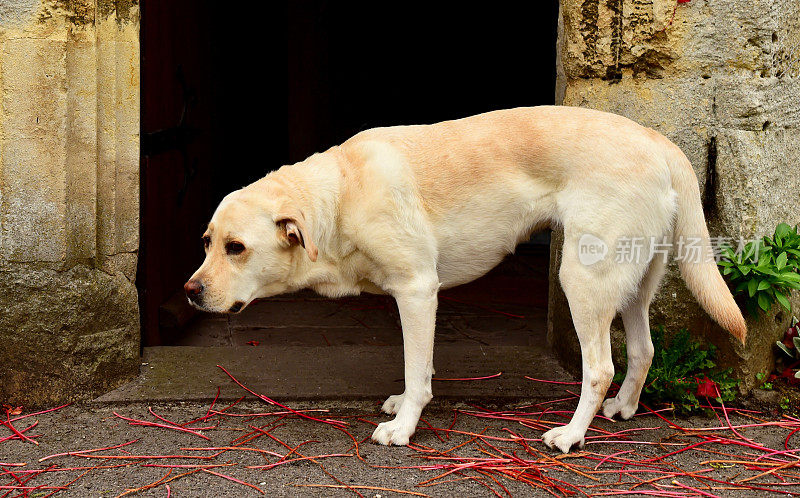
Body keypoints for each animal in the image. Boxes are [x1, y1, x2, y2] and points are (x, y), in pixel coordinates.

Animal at [184, 107, 748, 454]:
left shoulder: (416, 290)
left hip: (583, 280)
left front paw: (403, 428)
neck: (340, 194)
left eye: (236, 248)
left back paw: (570, 435)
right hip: (631, 285)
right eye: (207, 242)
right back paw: (624, 409)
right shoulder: (417, 298)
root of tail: (658, 141)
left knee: (600, 368)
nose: (190, 292)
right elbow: (421, 367)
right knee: (644, 350)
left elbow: (416, 372)